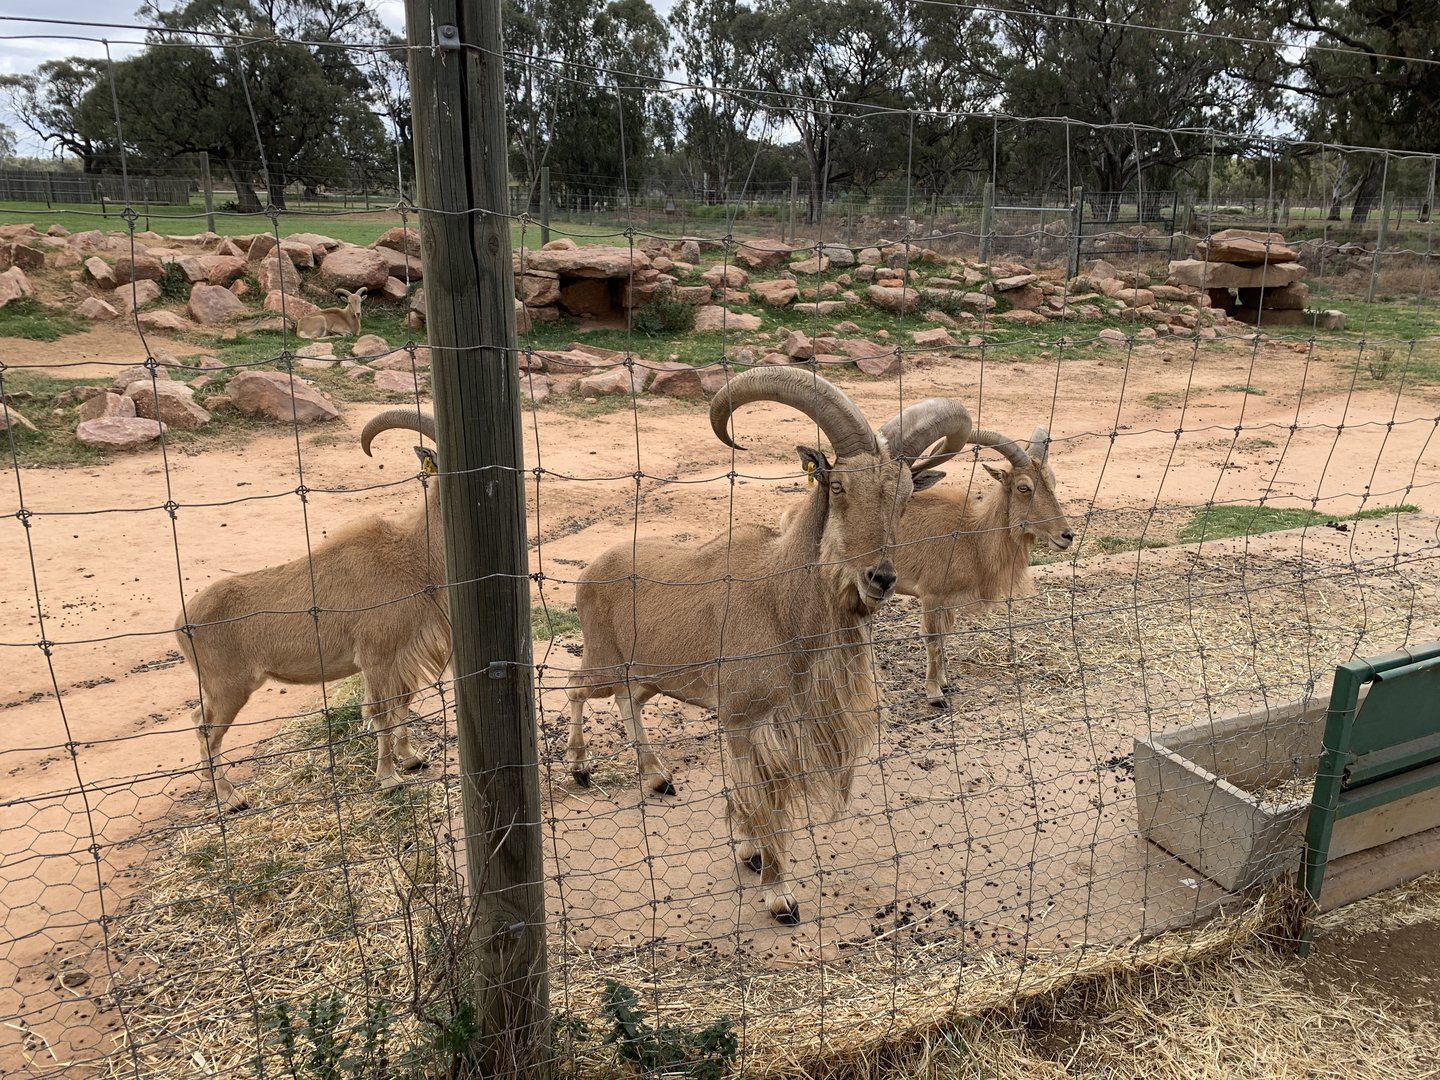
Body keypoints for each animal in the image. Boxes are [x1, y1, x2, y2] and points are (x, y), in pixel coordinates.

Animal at [174, 408, 448, 811]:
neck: (412, 553)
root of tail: (182, 622)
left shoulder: (400, 656)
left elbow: (402, 703)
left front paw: (412, 758)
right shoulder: (376, 657)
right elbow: (380, 713)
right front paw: (388, 778)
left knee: (198, 719)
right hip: (229, 688)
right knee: (207, 732)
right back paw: (232, 798)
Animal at [563, 368, 967, 923]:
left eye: (905, 496)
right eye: (837, 484)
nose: (881, 579)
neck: (783, 603)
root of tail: (590, 571)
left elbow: (764, 798)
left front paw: (752, 854)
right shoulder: (743, 721)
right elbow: (762, 799)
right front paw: (779, 894)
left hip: (651, 676)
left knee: (627, 702)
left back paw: (658, 778)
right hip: (605, 659)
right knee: (576, 687)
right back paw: (580, 768)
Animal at [882, 402, 1074, 706]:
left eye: (1053, 482)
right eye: (1023, 487)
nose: (1066, 536)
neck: (972, 536)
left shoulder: (946, 601)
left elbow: (944, 638)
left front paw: (945, 683)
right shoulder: (931, 594)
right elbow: (932, 638)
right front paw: (934, 694)